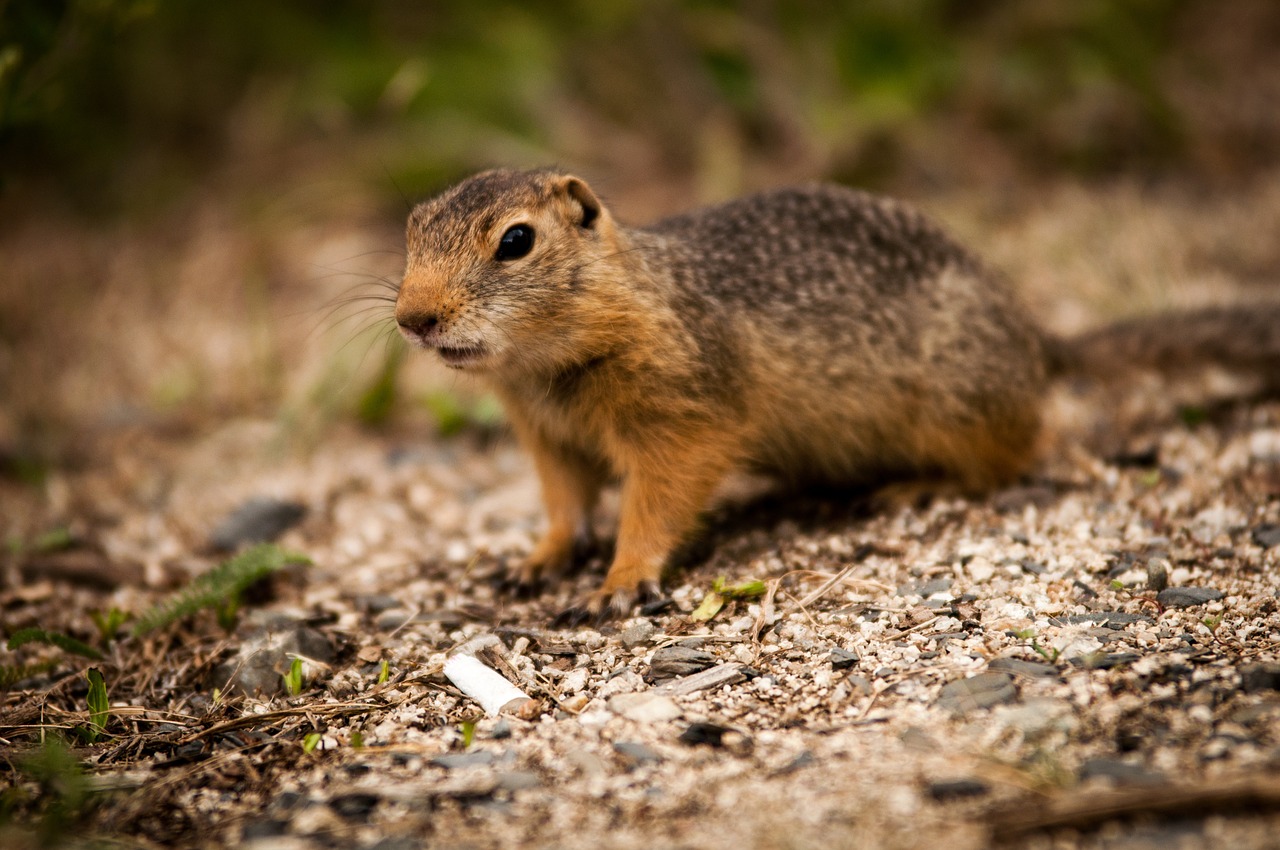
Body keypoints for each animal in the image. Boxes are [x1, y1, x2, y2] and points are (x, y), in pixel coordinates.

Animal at [396, 167, 1280, 617]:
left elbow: (656, 499)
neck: (547, 366)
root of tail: (1036, 342)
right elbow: (564, 504)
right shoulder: (548, 439)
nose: (413, 318)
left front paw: (621, 581)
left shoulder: (682, 415)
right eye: (410, 229)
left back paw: (912, 486)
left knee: (1017, 456)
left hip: (959, 410)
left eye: (516, 240)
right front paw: (537, 562)